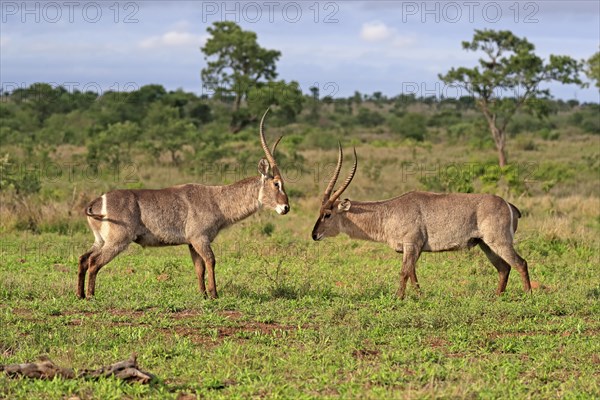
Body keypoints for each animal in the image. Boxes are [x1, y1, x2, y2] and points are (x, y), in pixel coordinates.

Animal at [78, 108, 290, 298]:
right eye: (277, 183)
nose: (286, 208)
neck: (217, 200)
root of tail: (97, 201)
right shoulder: (200, 238)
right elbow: (211, 262)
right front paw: (214, 294)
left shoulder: (191, 243)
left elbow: (199, 268)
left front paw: (202, 295)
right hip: (117, 241)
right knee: (94, 262)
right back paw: (90, 296)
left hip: (100, 240)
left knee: (83, 258)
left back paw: (79, 294)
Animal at [312, 145, 532, 298]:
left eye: (328, 214)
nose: (314, 235)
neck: (388, 212)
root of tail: (508, 204)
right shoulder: (411, 249)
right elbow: (412, 273)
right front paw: (419, 296)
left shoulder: (412, 244)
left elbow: (404, 272)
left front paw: (398, 298)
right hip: (486, 245)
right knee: (504, 268)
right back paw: (496, 296)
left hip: (499, 242)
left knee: (521, 263)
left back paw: (528, 296)